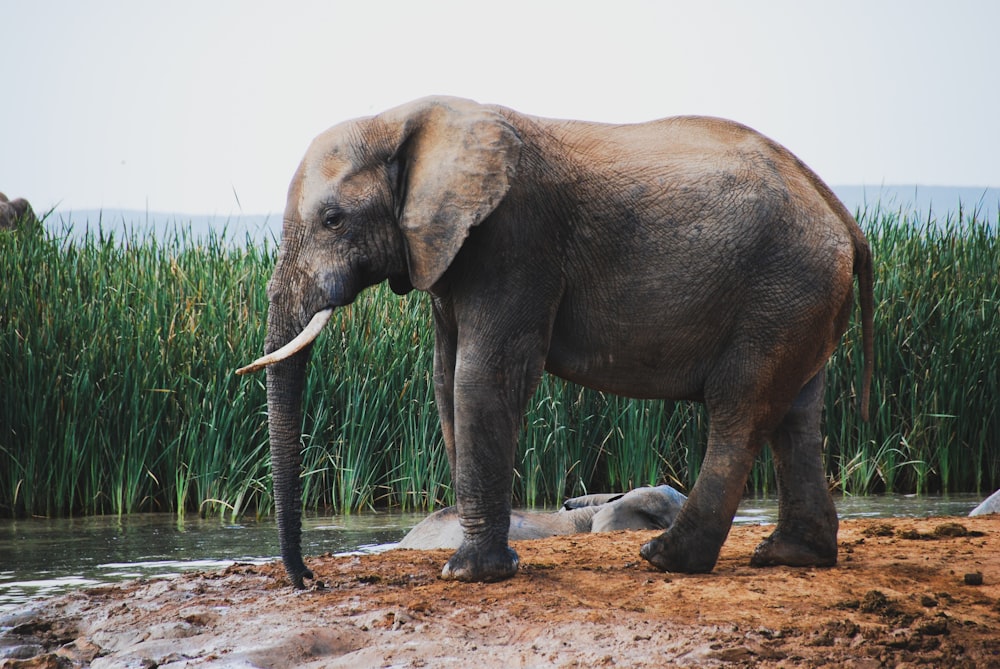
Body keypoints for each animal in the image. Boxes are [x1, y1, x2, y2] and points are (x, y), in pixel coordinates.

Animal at [238, 94, 872, 584]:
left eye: (333, 221)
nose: (311, 580)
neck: (400, 120)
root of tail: (843, 215)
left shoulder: (515, 239)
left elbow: (482, 376)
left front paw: (470, 574)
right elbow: (445, 379)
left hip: (780, 286)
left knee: (740, 409)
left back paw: (665, 560)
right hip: (801, 297)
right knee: (796, 413)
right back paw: (790, 557)